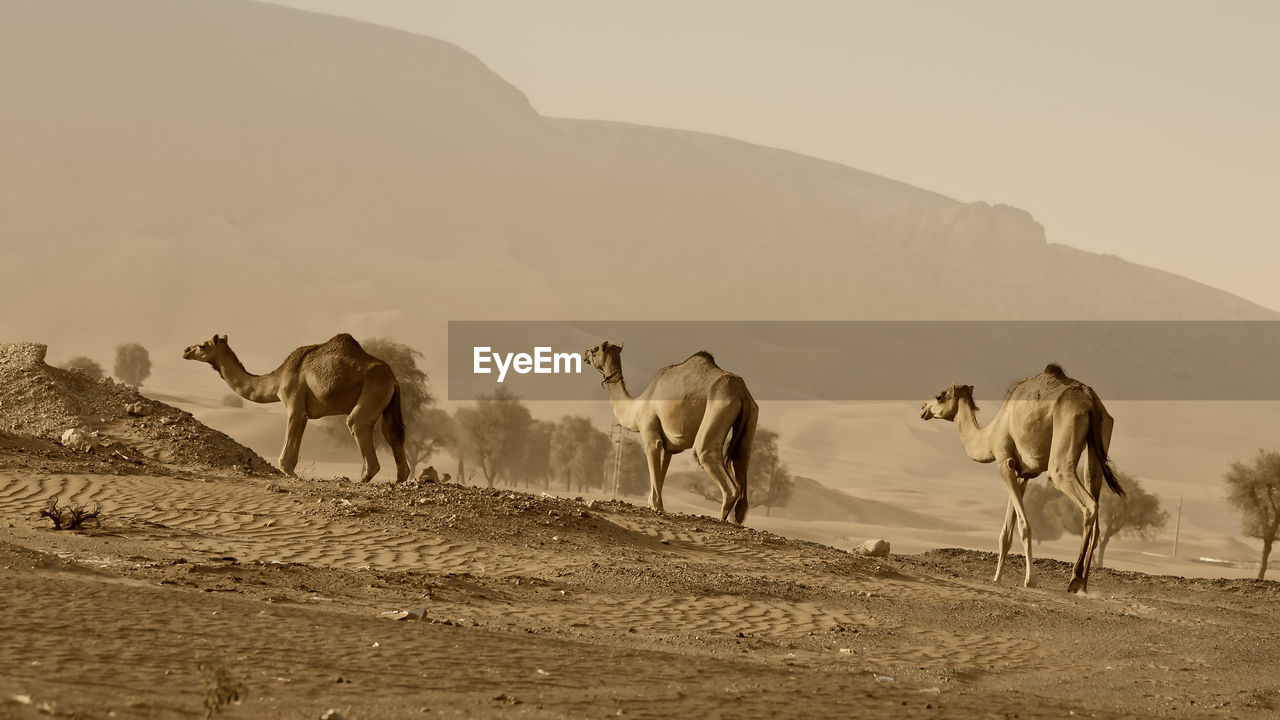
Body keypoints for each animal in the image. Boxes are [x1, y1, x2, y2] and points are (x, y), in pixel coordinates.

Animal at [180, 333, 407, 481]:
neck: (278, 379)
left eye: (203, 345)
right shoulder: (304, 413)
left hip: (372, 392)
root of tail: (393, 379)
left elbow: (286, 454)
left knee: (357, 425)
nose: (185, 350)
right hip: (388, 403)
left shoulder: (293, 404)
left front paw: (291, 474)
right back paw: (398, 479)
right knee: (391, 433)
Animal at [583, 340, 752, 520]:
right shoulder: (668, 446)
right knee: (742, 457)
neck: (638, 406)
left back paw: (721, 518)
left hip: (719, 407)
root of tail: (741, 391)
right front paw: (656, 504)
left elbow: (653, 463)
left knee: (707, 455)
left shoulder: (650, 434)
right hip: (751, 415)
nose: (585, 353)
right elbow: (662, 470)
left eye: (595, 350)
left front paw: (656, 505)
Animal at [921, 361, 1121, 591]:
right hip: (1100, 439)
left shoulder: (1003, 462)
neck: (990, 434)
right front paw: (997, 578)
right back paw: (1085, 587)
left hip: (1065, 439)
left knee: (1085, 501)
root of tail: (1092, 402)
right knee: (1094, 494)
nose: (923, 408)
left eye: (939, 396)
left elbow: (1023, 526)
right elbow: (1006, 533)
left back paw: (1075, 579)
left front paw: (1030, 580)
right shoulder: (1021, 474)